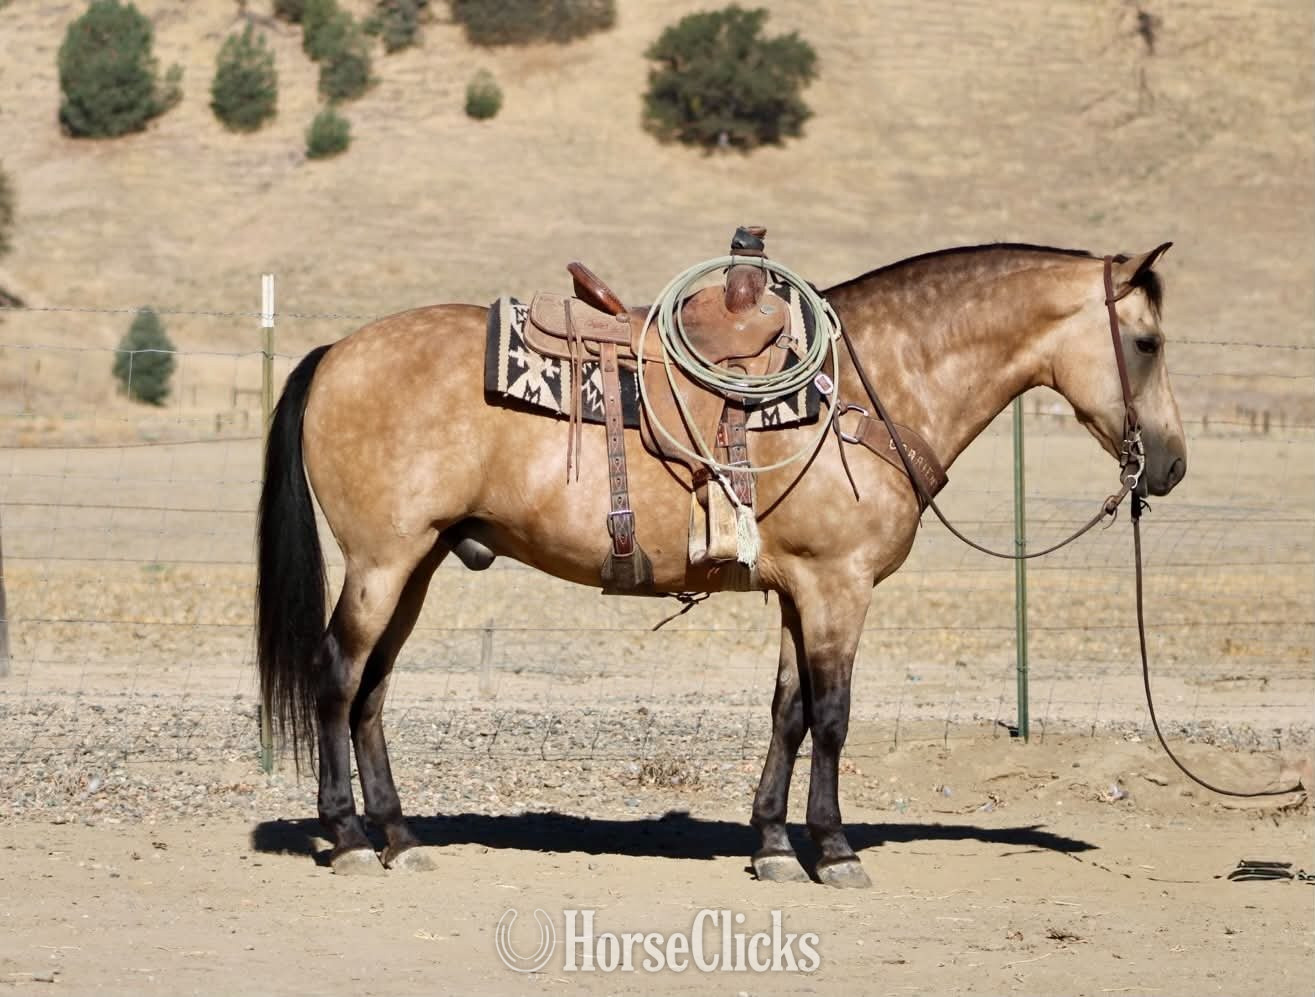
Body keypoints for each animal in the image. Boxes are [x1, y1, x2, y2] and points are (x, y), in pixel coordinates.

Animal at [256, 241, 1186, 886]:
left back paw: (401, 837)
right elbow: (833, 716)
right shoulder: (838, 587)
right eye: (1144, 342)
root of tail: (336, 351)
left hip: (416, 564)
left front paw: (773, 843)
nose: (1172, 465)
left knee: (372, 691)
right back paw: (348, 838)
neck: (870, 387)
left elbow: (787, 712)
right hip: (382, 562)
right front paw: (835, 849)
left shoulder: (800, 590)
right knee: (338, 677)